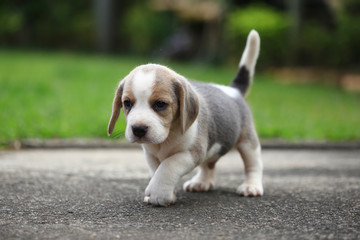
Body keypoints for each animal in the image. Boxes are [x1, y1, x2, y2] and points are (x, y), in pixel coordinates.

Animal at [108, 30, 262, 206]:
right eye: (127, 103)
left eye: (160, 104)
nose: (138, 129)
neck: (167, 138)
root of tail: (234, 90)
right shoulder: (151, 156)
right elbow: (156, 171)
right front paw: (167, 193)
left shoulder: (192, 153)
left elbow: (168, 166)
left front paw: (159, 193)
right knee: (209, 165)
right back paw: (201, 182)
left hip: (248, 143)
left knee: (253, 165)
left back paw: (251, 186)